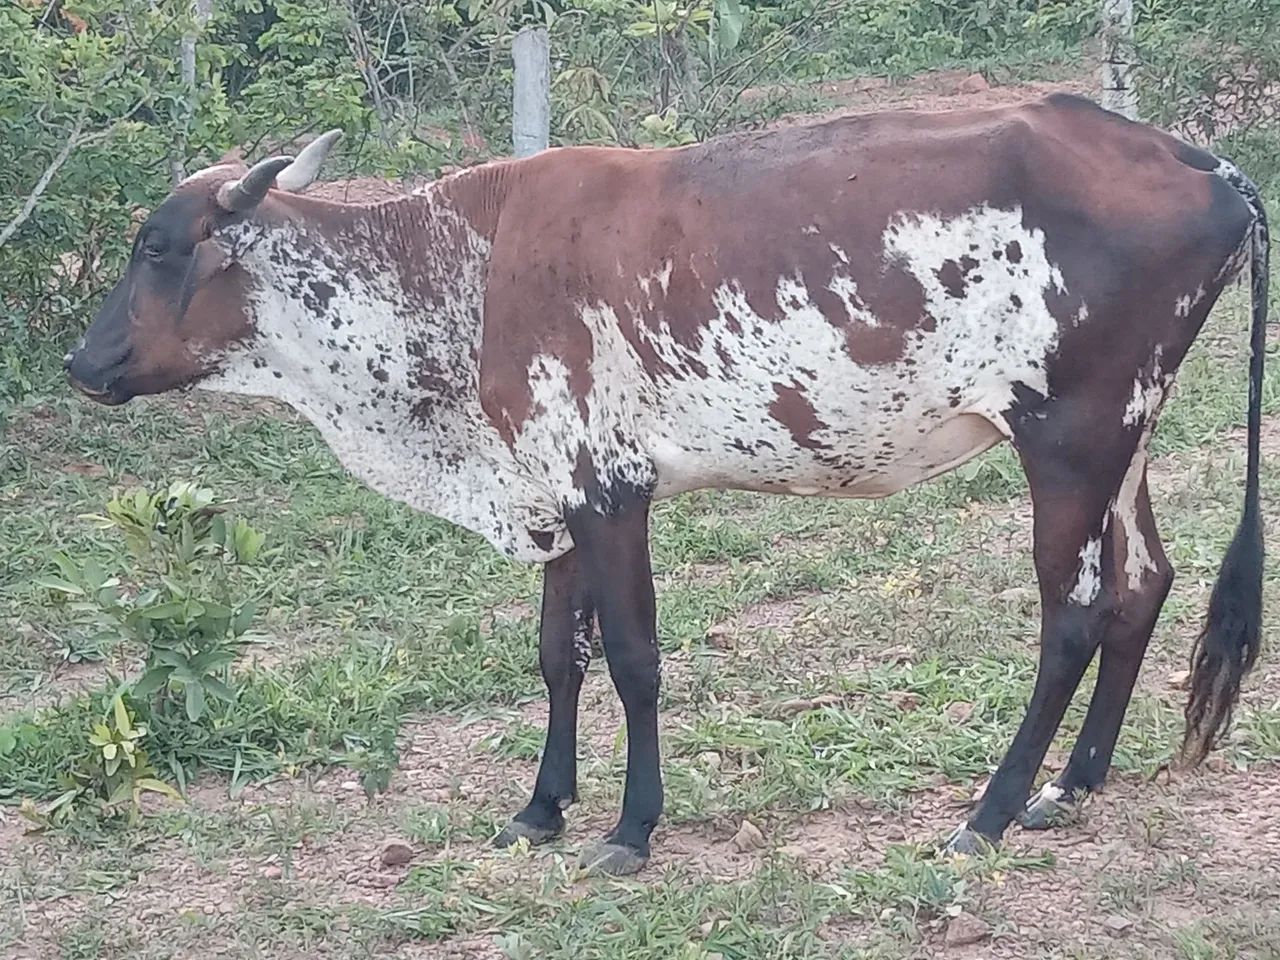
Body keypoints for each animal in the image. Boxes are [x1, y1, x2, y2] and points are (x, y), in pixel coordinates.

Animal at [65, 93, 1268, 876]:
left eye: (157, 247)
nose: (81, 364)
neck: (456, 265)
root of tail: (1198, 160)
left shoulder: (611, 489)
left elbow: (635, 661)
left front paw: (628, 829)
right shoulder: (550, 486)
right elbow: (558, 655)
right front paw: (540, 810)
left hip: (1065, 440)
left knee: (1072, 614)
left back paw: (992, 809)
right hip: (1125, 437)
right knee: (1143, 584)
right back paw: (1074, 784)